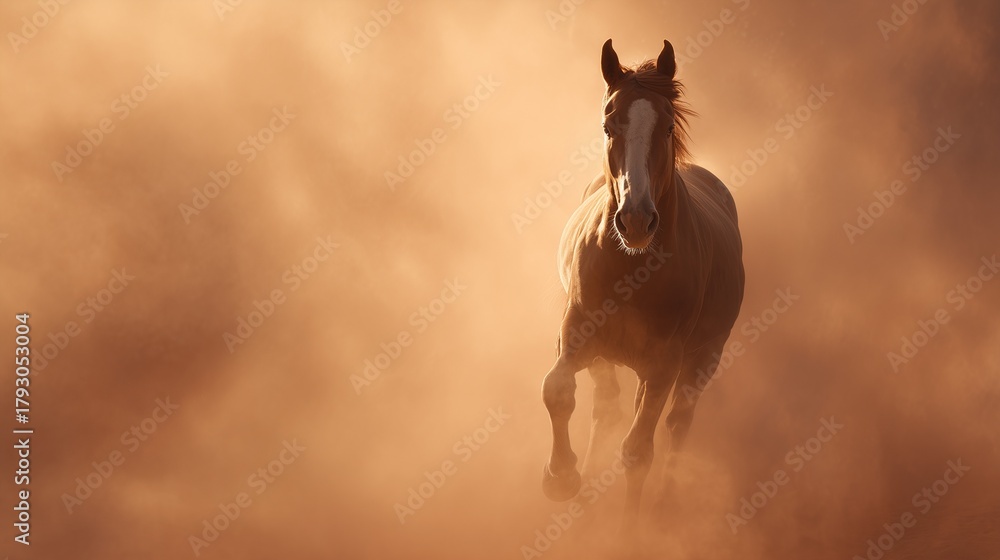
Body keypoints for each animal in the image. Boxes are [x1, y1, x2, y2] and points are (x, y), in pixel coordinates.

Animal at [540, 39, 745, 532]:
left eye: (667, 125)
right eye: (608, 124)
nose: (635, 220)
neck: (630, 269)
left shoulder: (664, 364)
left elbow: (637, 452)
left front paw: (629, 533)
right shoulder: (576, 336)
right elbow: (557, 390)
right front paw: (561, 477)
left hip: (701, 361)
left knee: (677, 425)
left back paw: (665, 507)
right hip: (606, 359)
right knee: (608, 408)